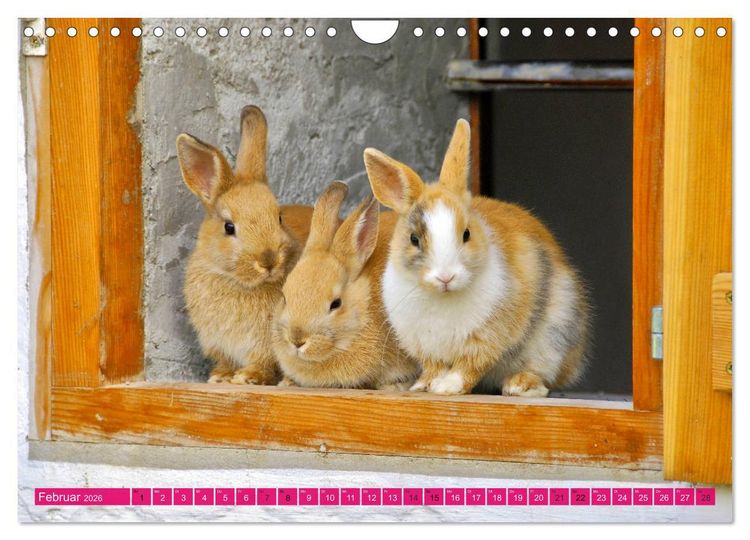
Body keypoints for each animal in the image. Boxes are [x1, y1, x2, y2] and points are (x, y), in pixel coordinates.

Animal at [176, 105, 313, 385]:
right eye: (229, 227)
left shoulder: (266, 345)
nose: (268, 260)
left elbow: (263, 362)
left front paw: (248, 377)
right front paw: (220, 376)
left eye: (279, 217)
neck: (239, 283)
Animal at [363, 119, 591, 397]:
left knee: (544, 376)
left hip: (554, 338)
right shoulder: (425, 346)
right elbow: (434, 366)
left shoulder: (486, 338)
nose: (446, 277)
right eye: (414, 239)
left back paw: (519, 385)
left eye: (467, 234)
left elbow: (469, 366)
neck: (443, 297)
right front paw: (423, 386)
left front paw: (447, 387)